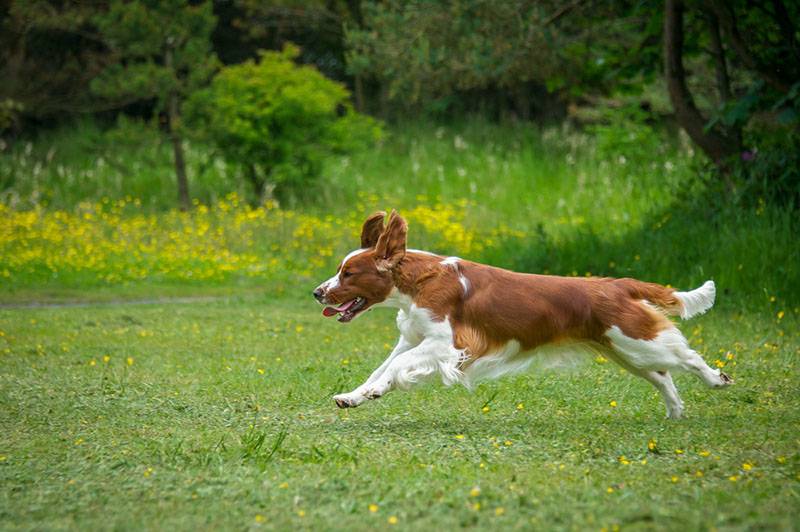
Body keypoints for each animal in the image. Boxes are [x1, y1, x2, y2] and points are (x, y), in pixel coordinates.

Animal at [314, 210, 732, 418]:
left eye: (348, 274)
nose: (317, 292)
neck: (419, 281)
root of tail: (618, 285)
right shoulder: (413, 339)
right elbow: (383, 367)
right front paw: (355, 396)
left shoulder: (449, 345)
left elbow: (397, 368)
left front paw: (373, 392)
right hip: (624, 350)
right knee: (662, 376)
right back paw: (675, 413)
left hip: (635, 340)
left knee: (686, 358)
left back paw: (716, 380)